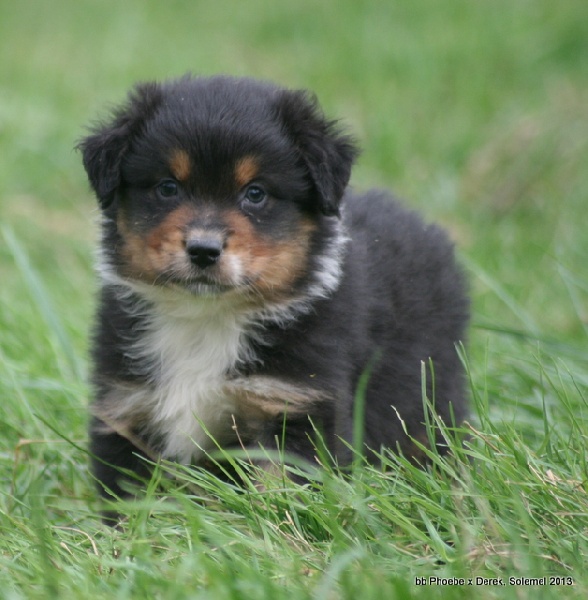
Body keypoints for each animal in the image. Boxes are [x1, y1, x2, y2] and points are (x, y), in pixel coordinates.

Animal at [78, 72, 468, 508]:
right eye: (167, 188)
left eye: (255, 193)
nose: (203, 250)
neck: (207, 317)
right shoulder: (127, 407)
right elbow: (130, 499)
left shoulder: (295, 405)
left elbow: (278, 489)